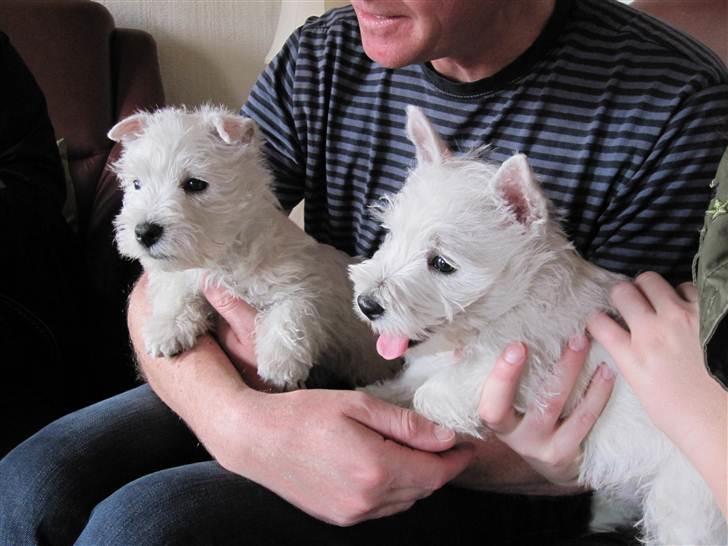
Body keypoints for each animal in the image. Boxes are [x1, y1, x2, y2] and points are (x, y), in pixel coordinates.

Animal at [109, 104, 396, 388]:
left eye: (194, 184)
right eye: (136, 184)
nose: (144, 232)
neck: (223, 255)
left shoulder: (306, 281)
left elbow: (292, 309)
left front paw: (280, 364)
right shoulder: (187, 272)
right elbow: (176, 287)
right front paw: (167, 328)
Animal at [350, 106, 724, 544]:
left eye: (442, 263)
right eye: (391, 234)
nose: (367, 303)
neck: (512, 302)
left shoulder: (519, 362)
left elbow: (433, 393)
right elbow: (404, 385)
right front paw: (373, 395)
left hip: (684, 504)